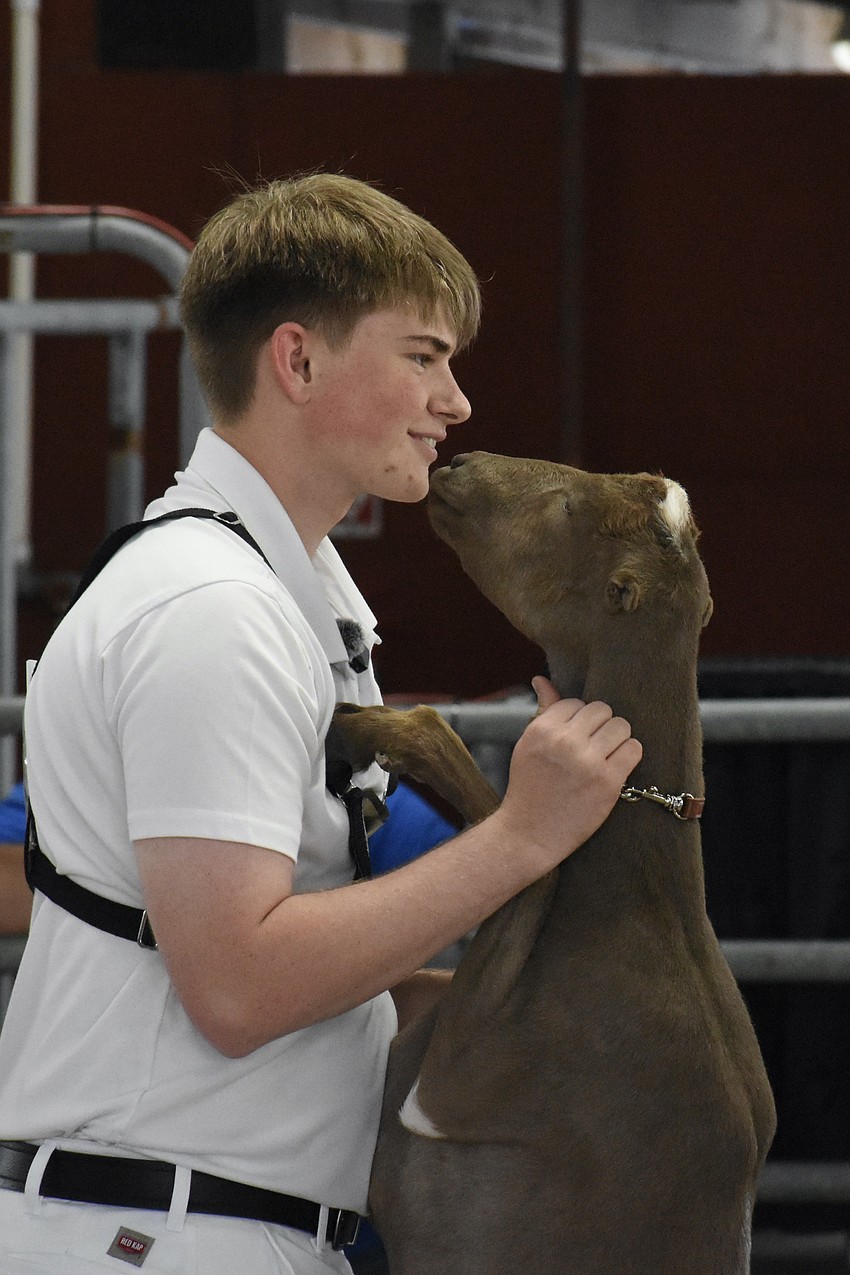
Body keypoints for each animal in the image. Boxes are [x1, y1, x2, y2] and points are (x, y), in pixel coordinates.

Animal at [333, 452, 776, 1275]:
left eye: (567, 507)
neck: (642, 904)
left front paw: (384, 727)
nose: (457, 462)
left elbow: (528, 859)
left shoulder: (455, 1079)